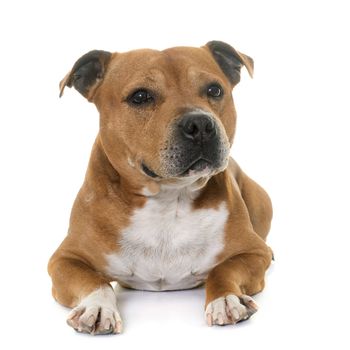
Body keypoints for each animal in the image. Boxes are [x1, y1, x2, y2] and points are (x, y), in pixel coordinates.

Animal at [48, 40, 274, 334]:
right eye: (140, 96)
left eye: (214, 90)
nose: (200, 124)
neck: (169, 198)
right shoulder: (64, 259)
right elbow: (95, 282)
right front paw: (97, 307)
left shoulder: (253, 252)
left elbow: (222, 270)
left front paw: (225, 299)